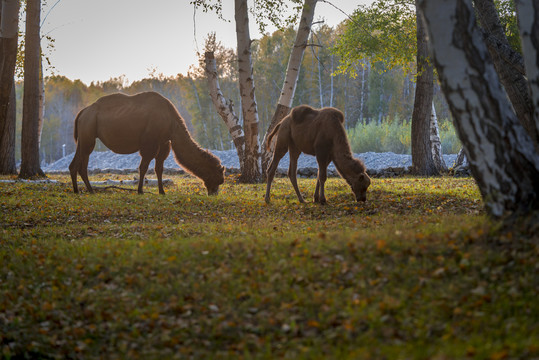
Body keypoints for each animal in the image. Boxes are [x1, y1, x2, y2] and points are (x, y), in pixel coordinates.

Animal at [69, 91, 226, 195]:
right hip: (88, 135)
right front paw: (140, 190)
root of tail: (82, 113)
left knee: (77, 164)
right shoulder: (150, 143)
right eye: (218, 178)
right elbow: (143, 167)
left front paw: (162, 191)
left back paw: (80, 190)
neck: (172, 124)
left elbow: (159, 168)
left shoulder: (164, 143)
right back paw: (87, 191)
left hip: (84, 139)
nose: (213, 193)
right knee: (81, 164)